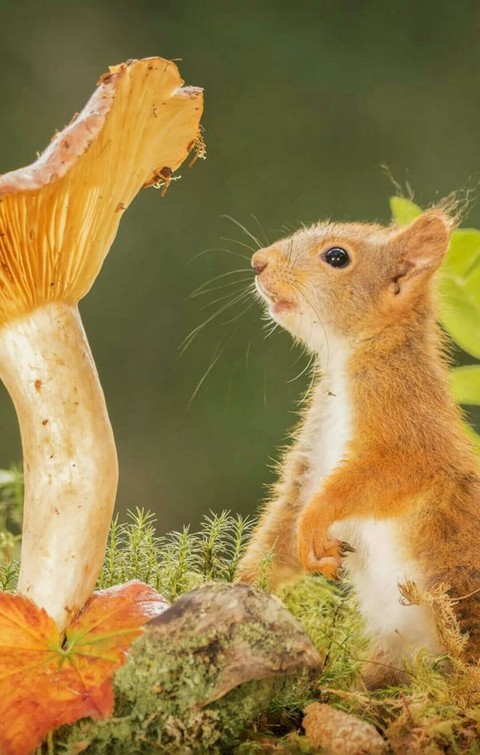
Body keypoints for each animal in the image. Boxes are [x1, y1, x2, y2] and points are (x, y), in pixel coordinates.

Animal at [237, 209, 480, 686]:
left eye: (337, 257)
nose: (258, 262)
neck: (351, 357)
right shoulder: (312, 457)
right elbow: (282, 528)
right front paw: (236, 587)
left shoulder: (410, 431)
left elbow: (374, 481)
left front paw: (316, 522)